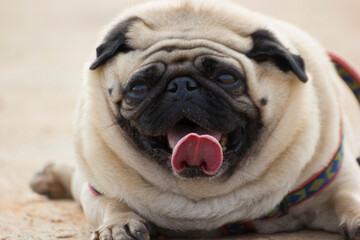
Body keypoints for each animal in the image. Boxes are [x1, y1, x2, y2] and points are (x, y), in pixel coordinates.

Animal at [31, 0, 360, 239]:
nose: (182, 86)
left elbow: (349, 196)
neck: (202, 193)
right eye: (139, 87)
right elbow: (111, 202)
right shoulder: (100, 187)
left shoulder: (338, 180)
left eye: (226, 78)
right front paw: (119, 223)